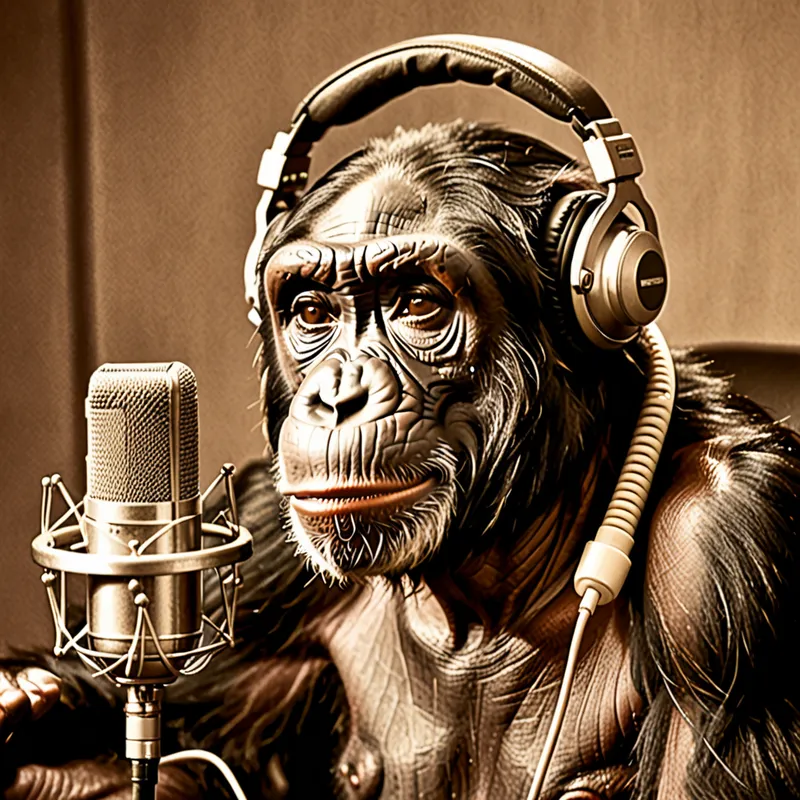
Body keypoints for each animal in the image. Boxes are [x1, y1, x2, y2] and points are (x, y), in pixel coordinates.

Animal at [2, 120, 800, 800]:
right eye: (312, 312)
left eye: (418, 303)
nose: (338, 396)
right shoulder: (266, 550)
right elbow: (177, 754)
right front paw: (30, 711)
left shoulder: (723, 545)